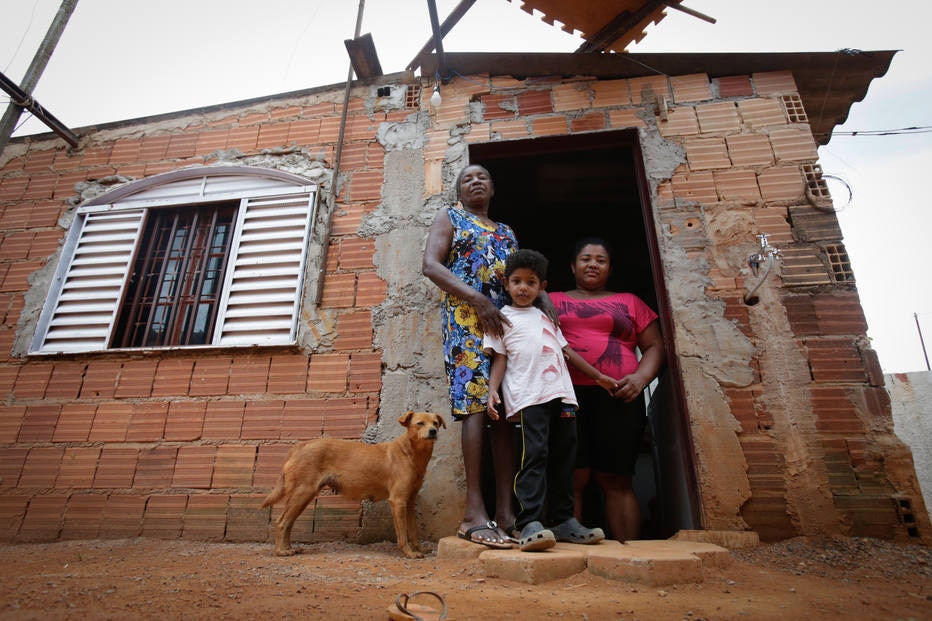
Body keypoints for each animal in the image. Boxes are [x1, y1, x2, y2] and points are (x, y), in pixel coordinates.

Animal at [260, 412, 446, 556]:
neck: (411, 453)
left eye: (435, 423)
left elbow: (413, 531)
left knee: (288, 523)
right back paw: (281, 551)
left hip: (303, 497)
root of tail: (300, 446)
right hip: (303, 493)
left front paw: (419, 549)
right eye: (420, 423)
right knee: (281, 522)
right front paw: (409, 553)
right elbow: (402, 533)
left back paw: (288, 548)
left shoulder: (409, 502)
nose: (433, 431)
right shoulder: (398, 500)